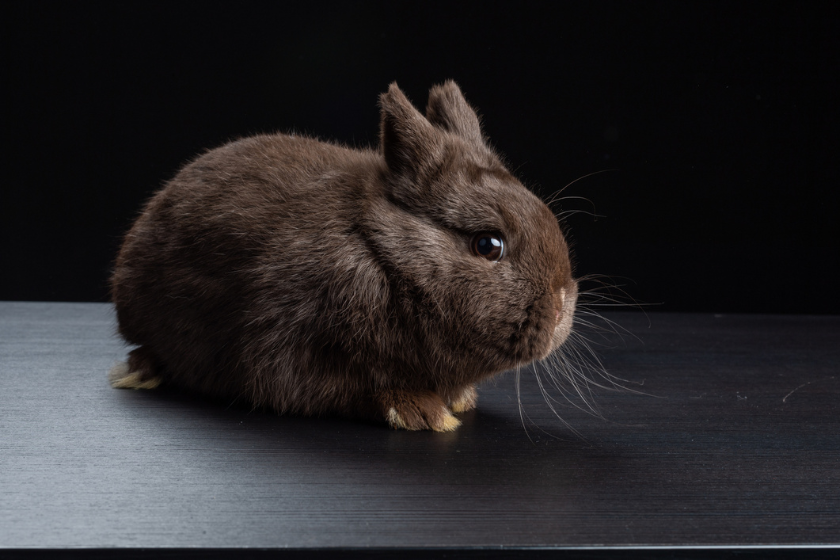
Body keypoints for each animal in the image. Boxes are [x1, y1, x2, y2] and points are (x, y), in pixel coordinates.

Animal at [109, 80, 578, 432]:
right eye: (487, 244)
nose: (561, 305)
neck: (385, 257)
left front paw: (459, 400)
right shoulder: (291, 350)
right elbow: (357, 389)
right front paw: (423, 413)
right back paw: (139, 371)